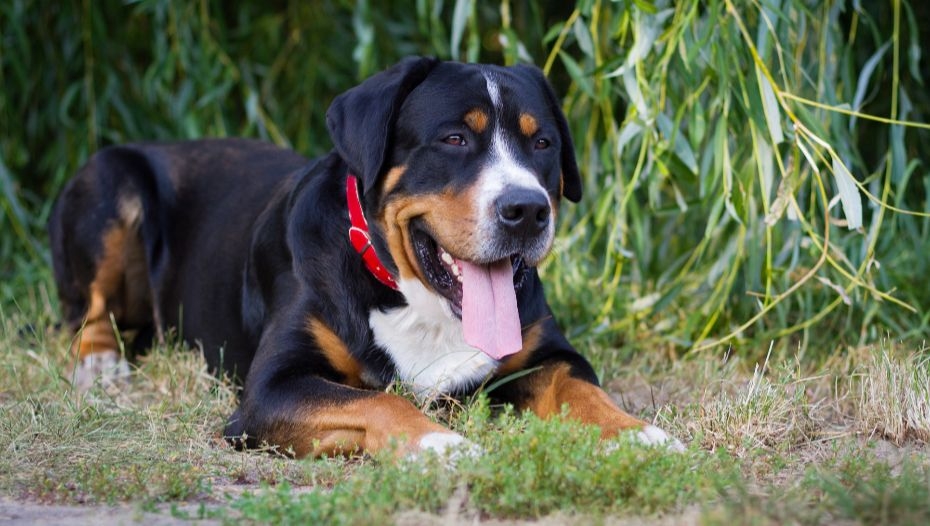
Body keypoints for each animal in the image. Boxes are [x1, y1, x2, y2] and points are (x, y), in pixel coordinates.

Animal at [49, 57, 680, 460]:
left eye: (542, 142)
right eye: (454, 139)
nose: (526, 210)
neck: (416, 300)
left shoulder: (545, 354)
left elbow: (580, 389)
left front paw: (638, 433)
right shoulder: (272, 388)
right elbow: (380, 401)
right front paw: (439, 442)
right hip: (112, 179)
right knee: (88, 312)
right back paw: (101, 364)